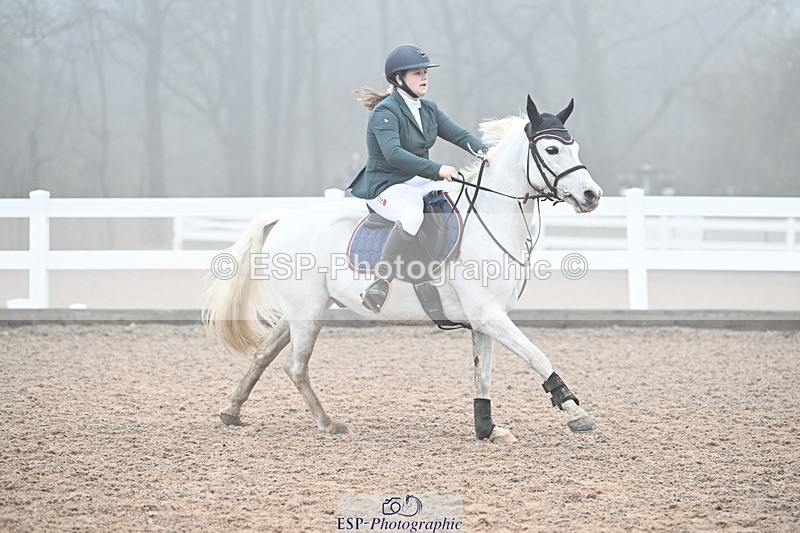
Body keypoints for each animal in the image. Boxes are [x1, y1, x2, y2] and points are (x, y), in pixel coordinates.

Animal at [203, 96, 603, 443]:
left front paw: (487, 428)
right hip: (308, 311)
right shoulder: (490, 315)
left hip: (302, 310)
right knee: (295, 366)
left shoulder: (485, 320)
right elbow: (538, 355)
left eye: (575, 148)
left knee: (264, 354)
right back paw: (328, 422)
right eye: (551, 150)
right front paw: (575, 412)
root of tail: (285, 217)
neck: (490, 218)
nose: (592, 196)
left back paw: (232, 411)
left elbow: (483, 376)